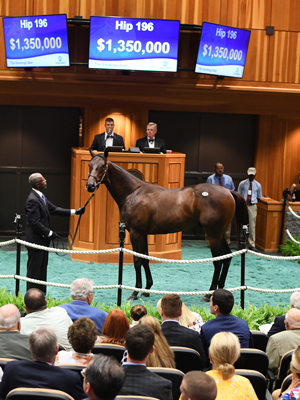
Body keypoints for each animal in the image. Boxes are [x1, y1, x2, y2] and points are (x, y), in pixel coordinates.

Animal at [86, 150, 248, 300]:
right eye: (90, 165)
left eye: (102, 166)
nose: (90, 185)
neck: (133, 192)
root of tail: (228, 191)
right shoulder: (143, 233)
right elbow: (145, 258)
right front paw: (147, 289)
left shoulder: (135, 233)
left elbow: (137, 260)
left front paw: (135, 292)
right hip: (219, 234)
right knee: (227, 257)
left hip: (213, 235)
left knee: (218, 261)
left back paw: (208, 294)